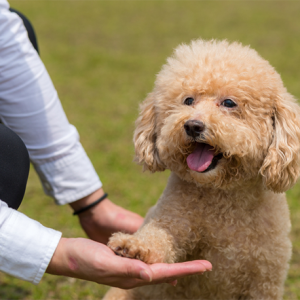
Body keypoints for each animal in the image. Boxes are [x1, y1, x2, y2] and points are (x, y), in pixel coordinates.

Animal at [104, 39, 300, 300]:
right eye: (188, 100)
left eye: (229, 103)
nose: (193, 125)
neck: (224, 196)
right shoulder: (173, 219)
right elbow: (158, 236)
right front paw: (133, 246)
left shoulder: (265, 281)